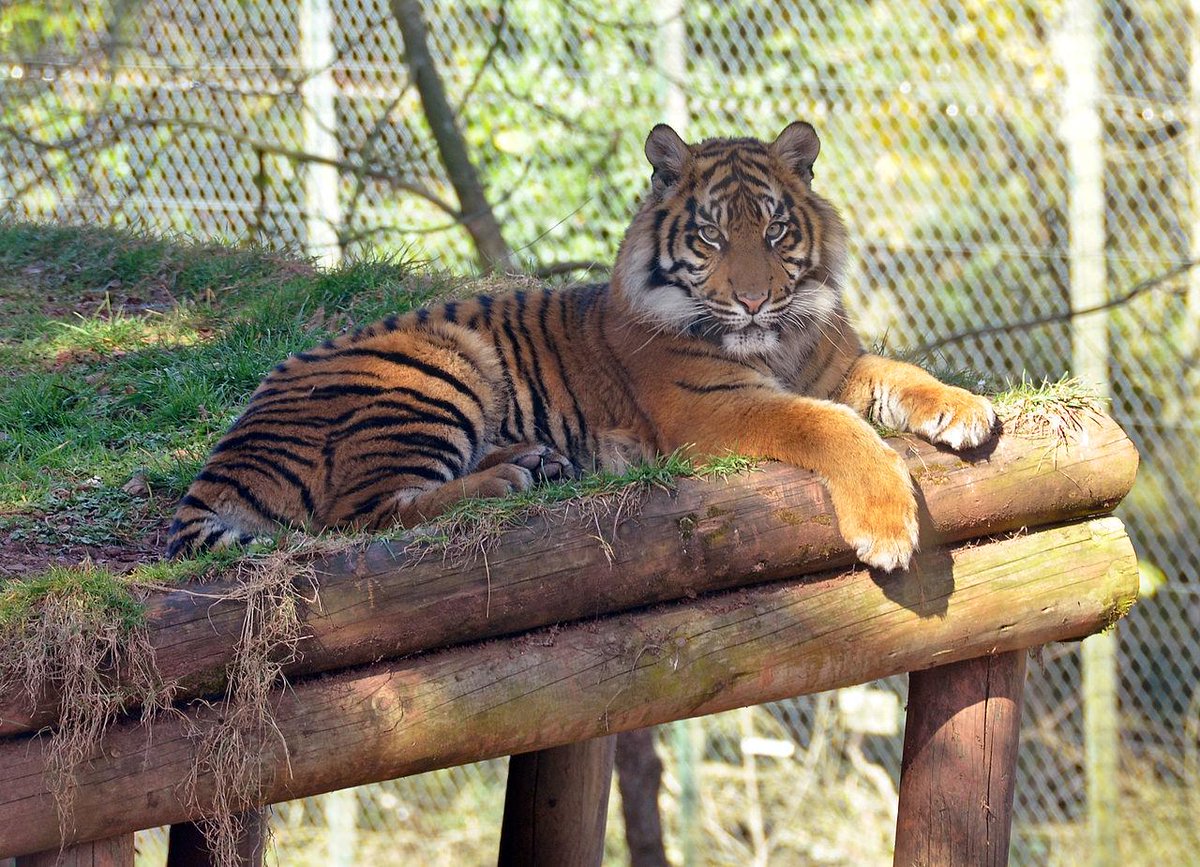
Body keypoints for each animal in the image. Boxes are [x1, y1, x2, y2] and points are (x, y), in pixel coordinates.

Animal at [166, 121, 996, 571]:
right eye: (711, 235)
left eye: (774, 230)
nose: (755, 298)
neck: (776, 341)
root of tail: (225, 451)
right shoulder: (716, 407)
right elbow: (830, 425)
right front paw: (887, 526)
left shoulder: (837, 364)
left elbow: (903, 372)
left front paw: (968, 411)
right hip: (438, 361)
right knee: (360, 515)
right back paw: (505, 479)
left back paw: (535, 460)